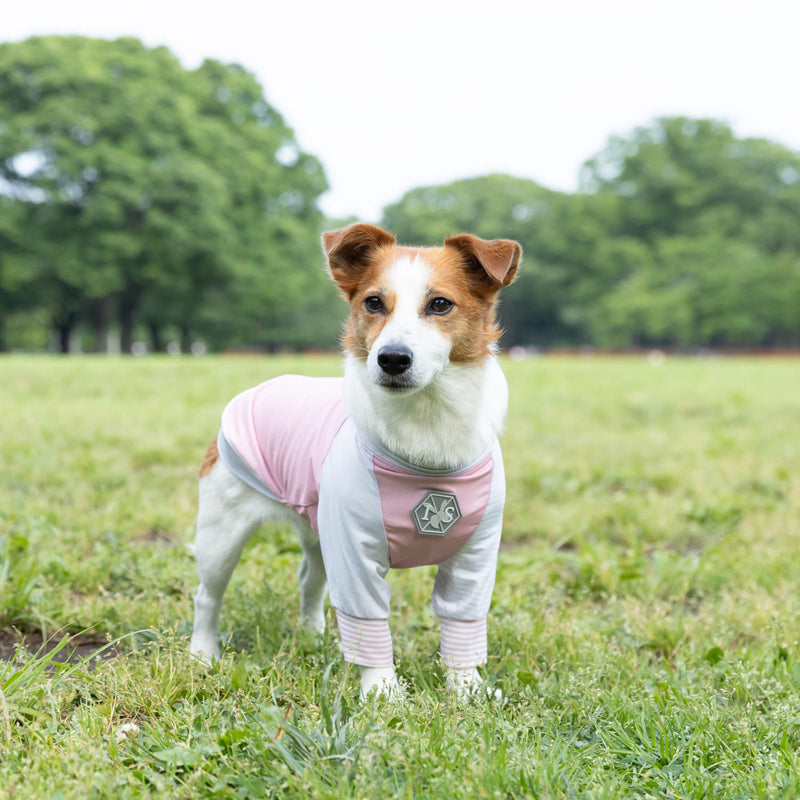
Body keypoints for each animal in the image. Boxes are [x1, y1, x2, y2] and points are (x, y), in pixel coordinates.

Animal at [191, 222, 520, 696]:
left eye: (440, 304)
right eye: (374, 302)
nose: (392, 358)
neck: (426, 426)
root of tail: (263, 385)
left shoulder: (476, 553)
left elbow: (463, 621)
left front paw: (466, 688)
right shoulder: (353, 549)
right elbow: (368, 621)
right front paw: (382, 692)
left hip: (318, 531)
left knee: (308, 581)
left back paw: (314, 638)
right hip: (222, 531)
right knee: (208, 595)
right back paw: (202, 653)